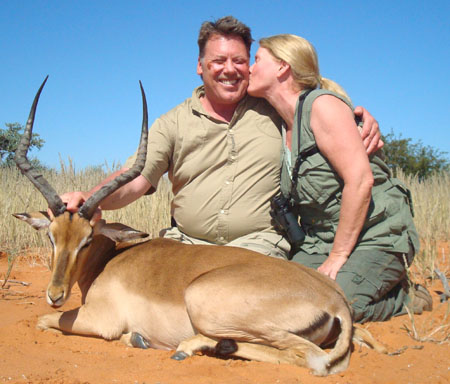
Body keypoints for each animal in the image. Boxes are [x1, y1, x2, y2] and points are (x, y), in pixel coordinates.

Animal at [13, 77, 384, 376]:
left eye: (87, 239)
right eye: (51, 237)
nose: (55, 295)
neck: (111, 259)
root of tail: (335, 301)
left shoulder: (99, 320)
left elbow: (43, 321)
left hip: (209, 306)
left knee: (309, 357)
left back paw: (186, 347)